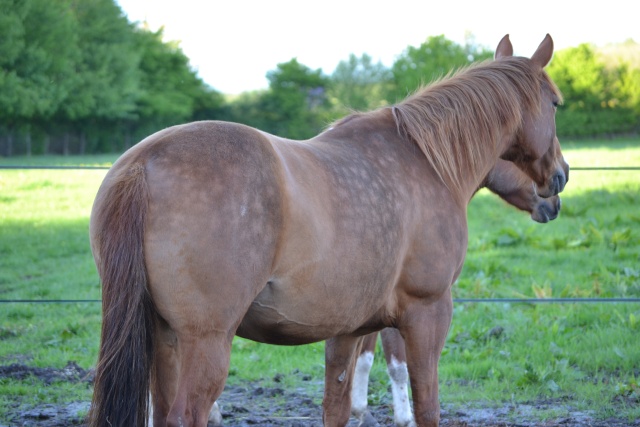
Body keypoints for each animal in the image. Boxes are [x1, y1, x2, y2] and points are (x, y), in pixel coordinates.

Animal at [87, 34, 568, 427]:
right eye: (555, 104)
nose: (560, 180)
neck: (426, 162)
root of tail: (143, 164)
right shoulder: (428, 313)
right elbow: (426, 405)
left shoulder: (347, 329)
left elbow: (336, 406)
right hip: (204, 341)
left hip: (162, 335)